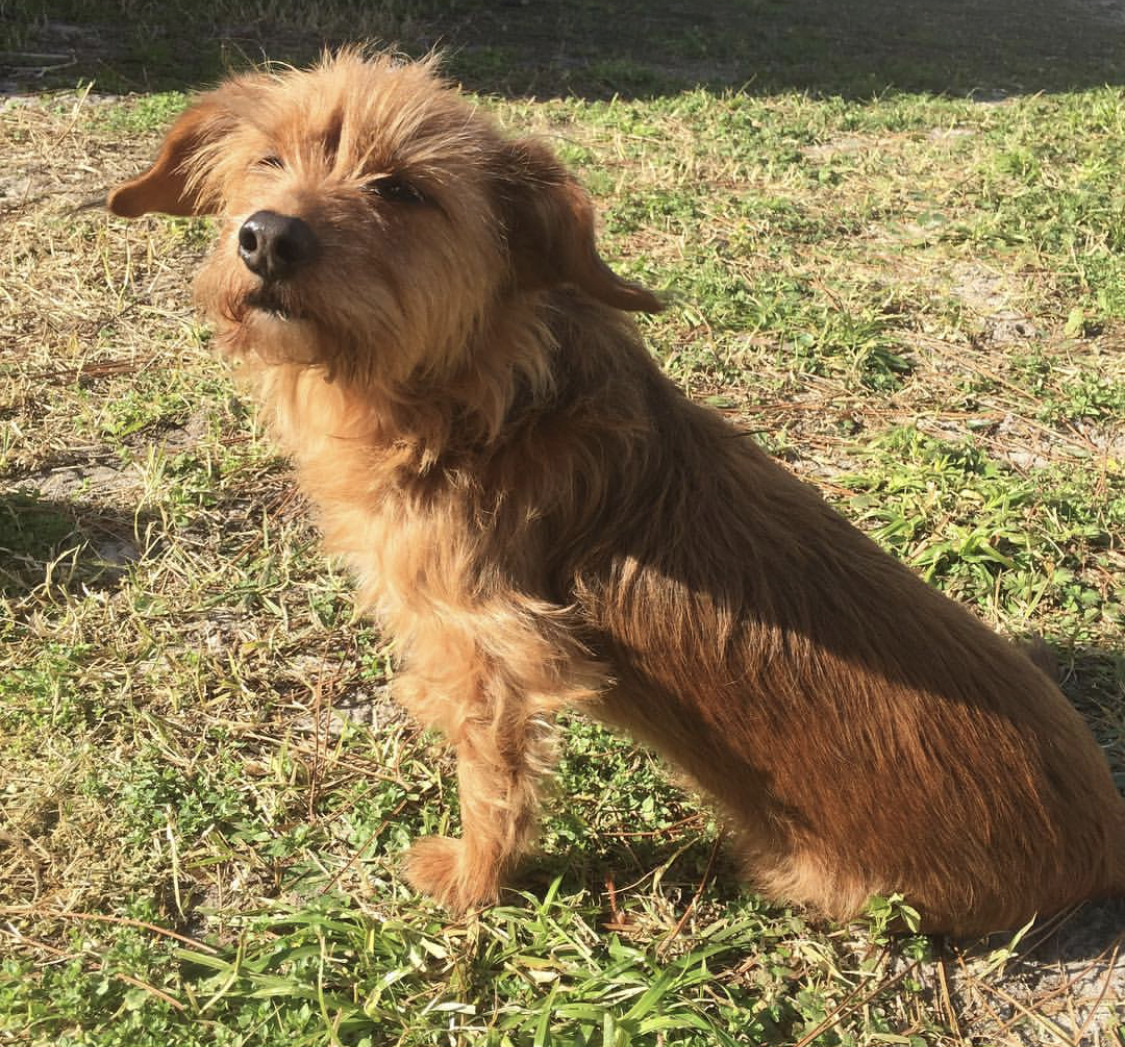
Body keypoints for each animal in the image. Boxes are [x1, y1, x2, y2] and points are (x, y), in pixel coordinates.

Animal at [107, 49, 1125, 935]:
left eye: (402, 189)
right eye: (266, 159)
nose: (267, 236)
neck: (469, 394)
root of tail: (1103, 849)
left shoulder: (492, 652)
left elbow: (494, 787)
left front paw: (471, 882)